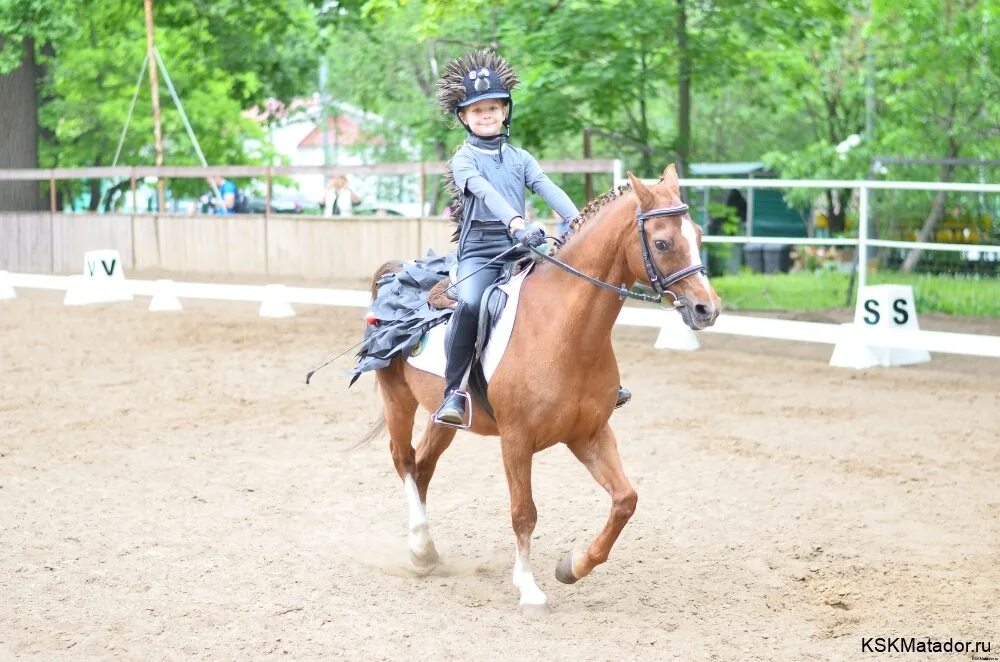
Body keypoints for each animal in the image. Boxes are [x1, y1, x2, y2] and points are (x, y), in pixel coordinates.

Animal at [368, 166, 720, 616]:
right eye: (662, 242)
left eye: (697, 234)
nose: (706, 309)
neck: (566, 330)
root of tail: (395, 275)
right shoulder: (517, 440)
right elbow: (524, 513)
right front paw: (529, 589)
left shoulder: (589, 434)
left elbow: (625, 500)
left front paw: (572, 566)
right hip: (398, 398)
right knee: (403, 460)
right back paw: (419, 547)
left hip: (443, 417)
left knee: (423, 466)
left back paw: (427, 553)